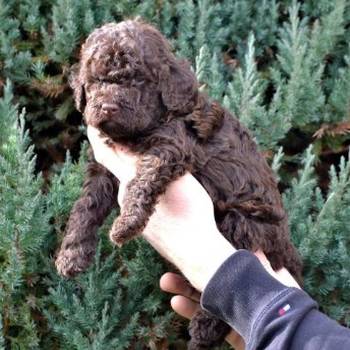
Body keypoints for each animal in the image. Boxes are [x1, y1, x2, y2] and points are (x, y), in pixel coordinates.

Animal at [56, 19, 302, 350]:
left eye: (138, 80)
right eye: (94, 81)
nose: (107, 107)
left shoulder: (171, 147)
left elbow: (143, 179)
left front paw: (126, 224)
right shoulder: (102, 169)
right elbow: (85, 208)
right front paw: (71, 255)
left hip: (241, 223)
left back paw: (203, 329)